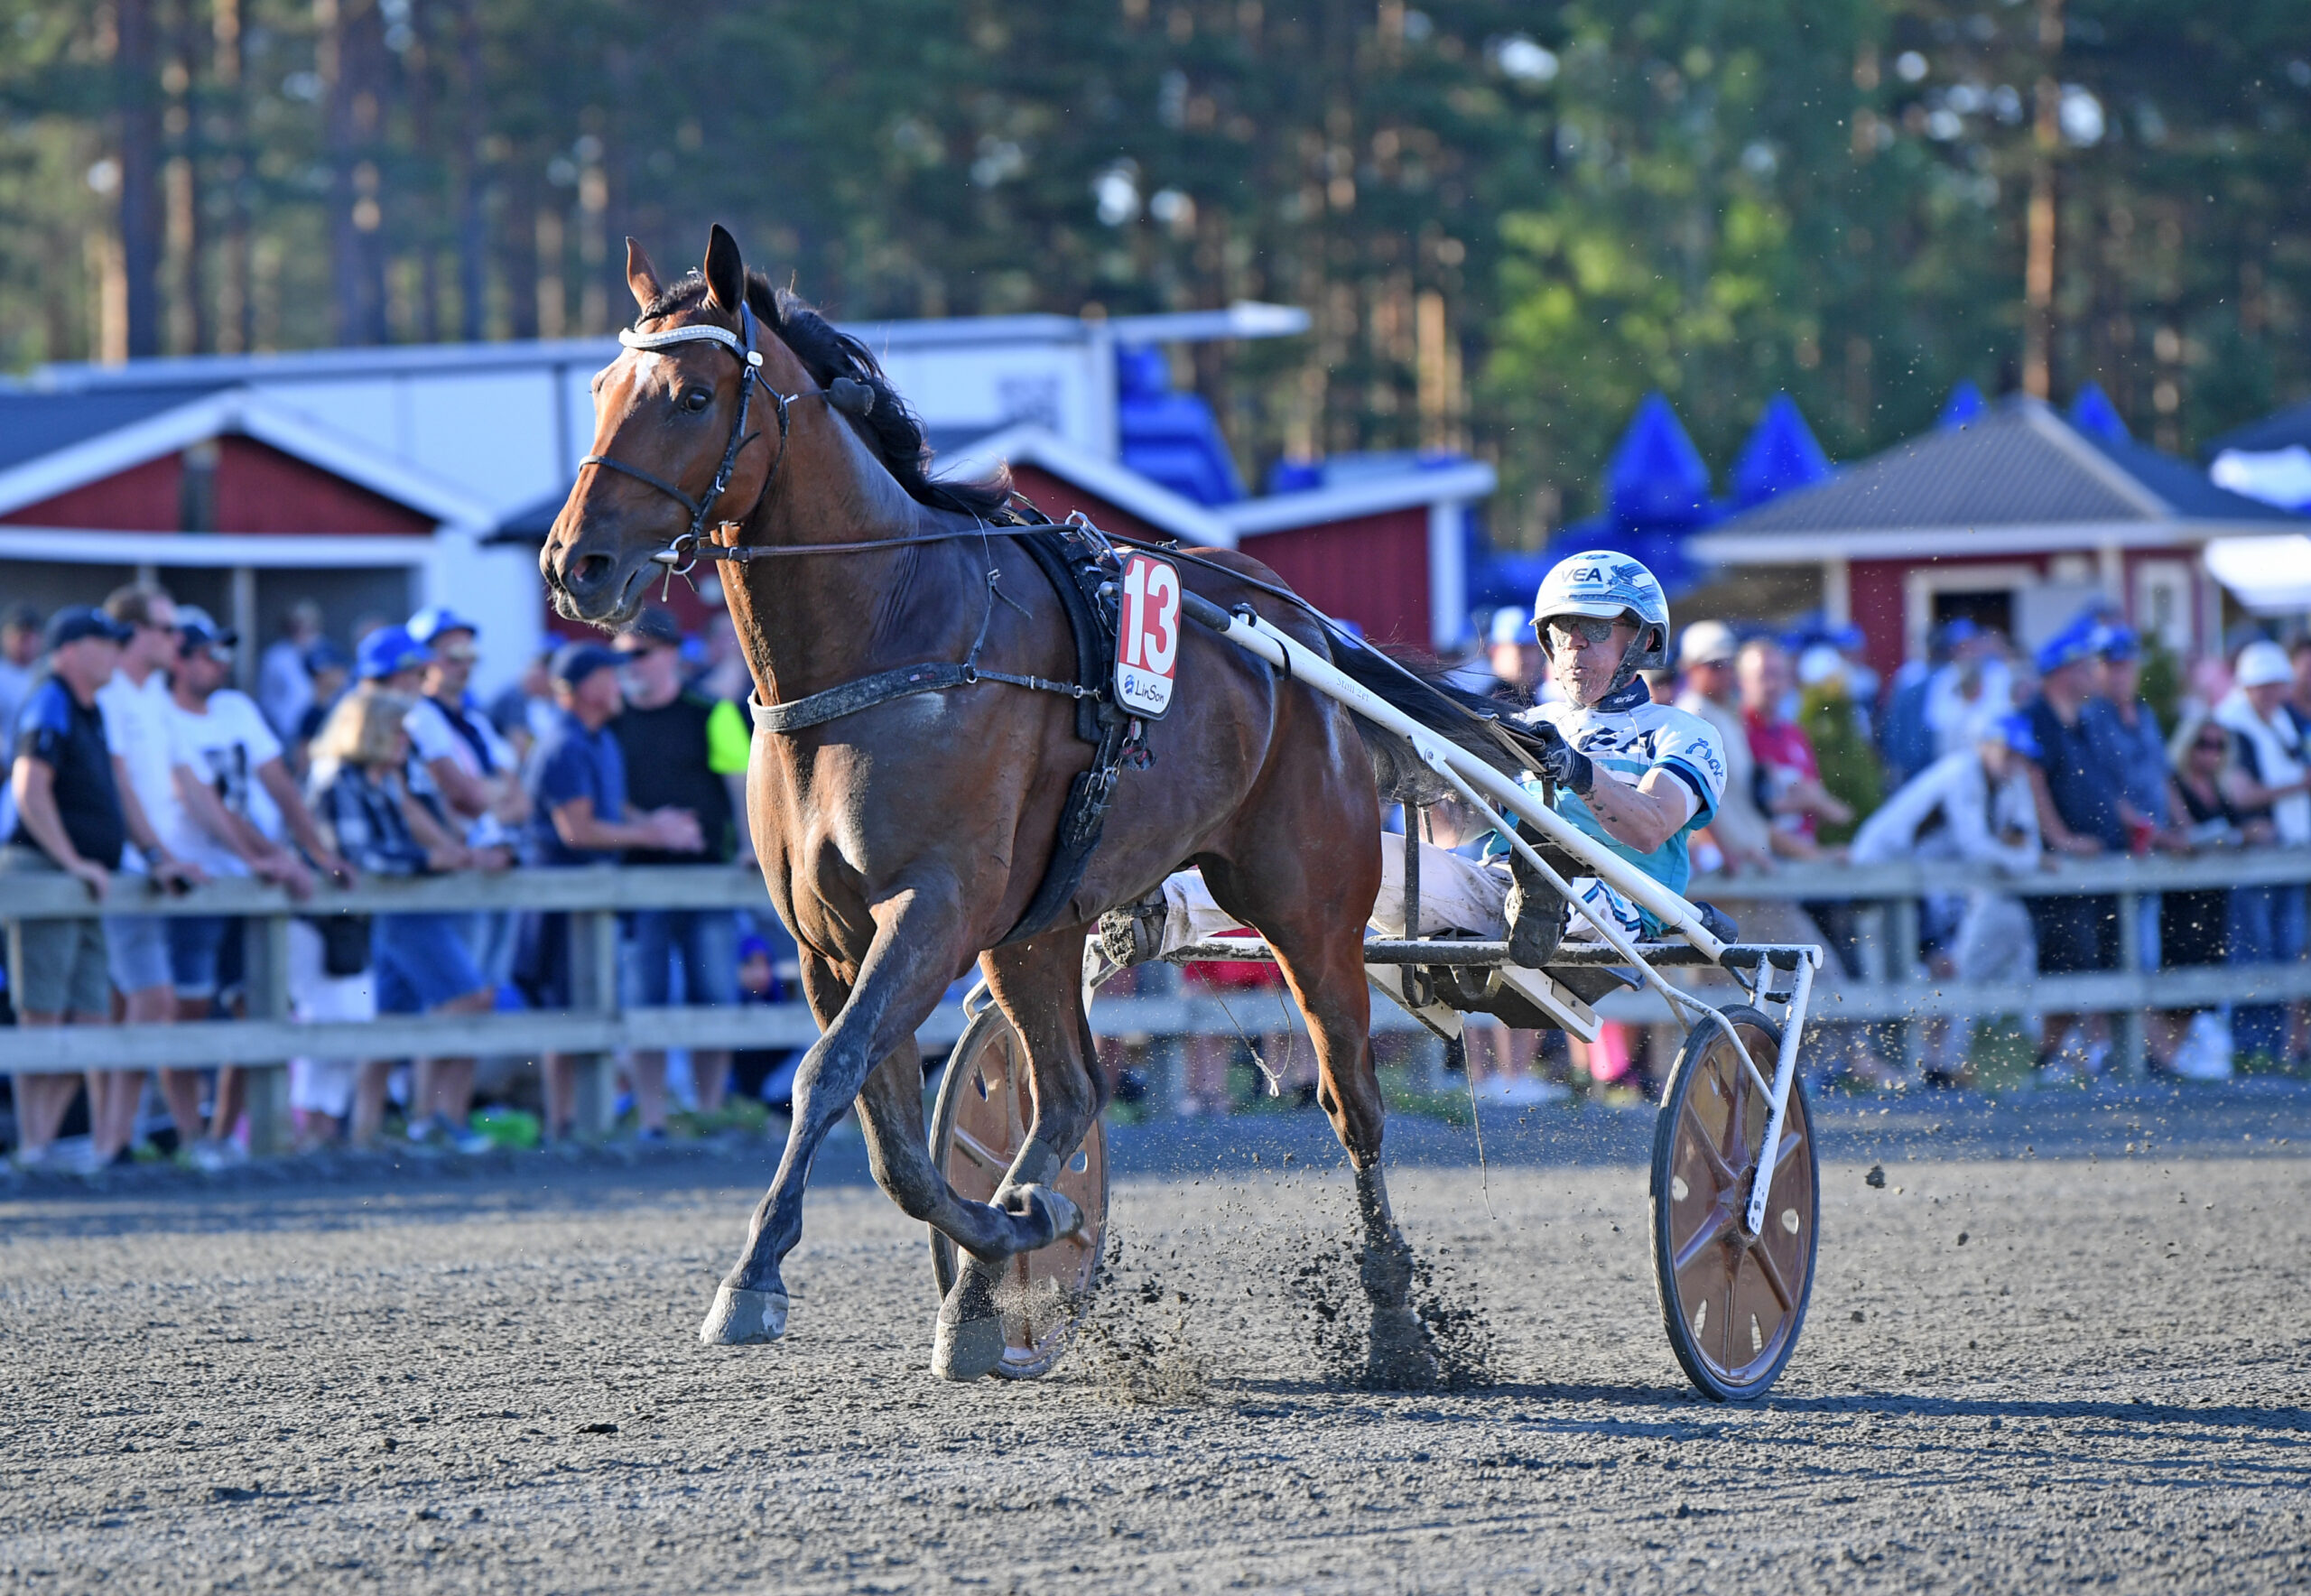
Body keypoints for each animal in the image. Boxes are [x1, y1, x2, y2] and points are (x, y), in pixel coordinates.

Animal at [543, 225, 1442, 1386]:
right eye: (601, 388)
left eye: (694, 395)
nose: (576, 563)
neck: (885, 632)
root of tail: (1302, 629)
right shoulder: (830, 940)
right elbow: (883, 1128)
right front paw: (1012, 1228)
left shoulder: (934, 906)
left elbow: (825, 1076)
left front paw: (753, 1278)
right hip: (1040, 929)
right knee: (1069, 1090)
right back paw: (993, 1276)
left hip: (1309, 913)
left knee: (1353, 1104)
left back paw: (1393, 1318)